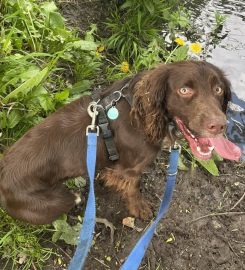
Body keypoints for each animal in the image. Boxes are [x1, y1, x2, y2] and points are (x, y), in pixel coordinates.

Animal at [0, 60, 239, 224]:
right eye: (184, 90)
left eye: (218, 89)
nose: (220, 125)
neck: (140, 113)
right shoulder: (130, 169)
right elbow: (133, 188)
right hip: (54, 200)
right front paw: (139, 208)